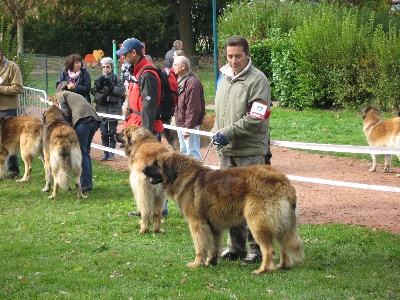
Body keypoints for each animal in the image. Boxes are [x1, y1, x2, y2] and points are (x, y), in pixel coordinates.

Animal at [142, 154, 304, 276]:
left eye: (156, 164)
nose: (143, 169)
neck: (183, 176)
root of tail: (283, 181)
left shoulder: (197, 224)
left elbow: (200, 246)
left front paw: (197, 263)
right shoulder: (213, 226)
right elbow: (213, 246)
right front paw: (211, 262)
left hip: (257, 223)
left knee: (269, 250)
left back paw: (262, 270)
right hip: (282, 224)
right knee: (284, 247)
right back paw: (282, 266)